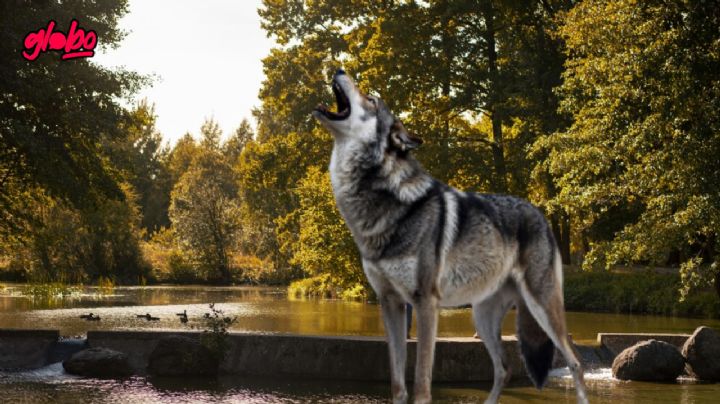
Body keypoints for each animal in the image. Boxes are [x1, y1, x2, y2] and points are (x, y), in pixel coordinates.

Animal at [312, 69, 588, 404]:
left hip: (542, 307)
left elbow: (421, 385)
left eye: (372, 99)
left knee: (575, 362)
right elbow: (398, 384)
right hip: (482, 317)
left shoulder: (425, 304)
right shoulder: (390, 303)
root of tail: (539, 213)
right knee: (504, 369)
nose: (339, 69)